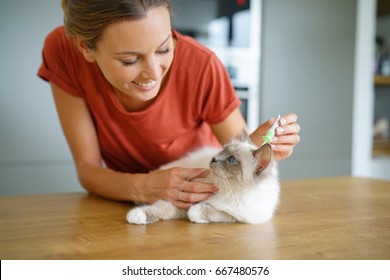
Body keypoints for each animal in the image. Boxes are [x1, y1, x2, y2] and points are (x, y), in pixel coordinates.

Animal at [126, 130, 278, 224]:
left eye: (232, 159)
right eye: (222, 151)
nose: (213, 159)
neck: (227, 190)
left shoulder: (238, 217)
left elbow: (213, 212)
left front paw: (195, 214)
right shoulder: (181, 200)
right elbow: (157, 209)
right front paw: (136, 216)